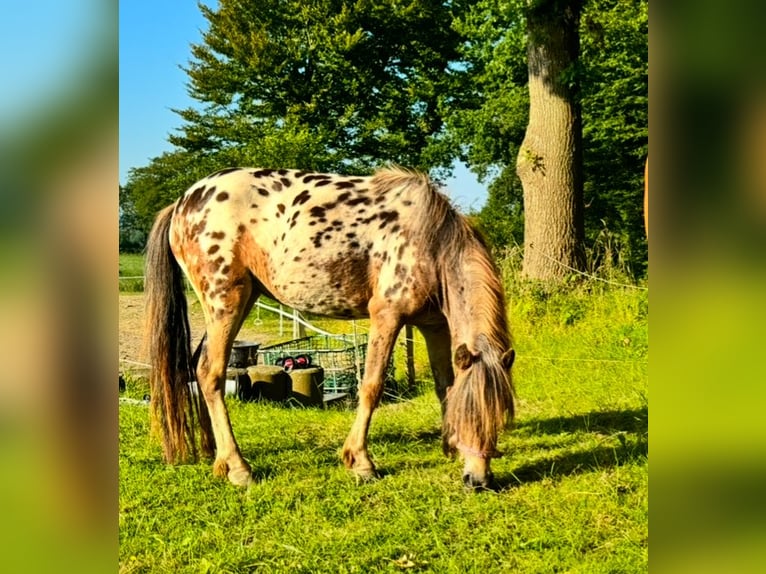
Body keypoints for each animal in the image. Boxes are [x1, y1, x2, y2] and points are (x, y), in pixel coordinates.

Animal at [144, 165, 516, 490]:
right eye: (473, 414)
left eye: (498, 417)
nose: (479, 481)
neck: (429, 240)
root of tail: (183, 203)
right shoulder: (387, 317)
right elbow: (371, 386)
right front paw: (361, 463)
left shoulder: (433, 325)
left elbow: (445, 386)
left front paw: (448, 447)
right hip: (226, 303)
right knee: (211, 373)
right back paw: (238, 468)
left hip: (237, 302)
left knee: (200, 369)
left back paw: (216, 455)